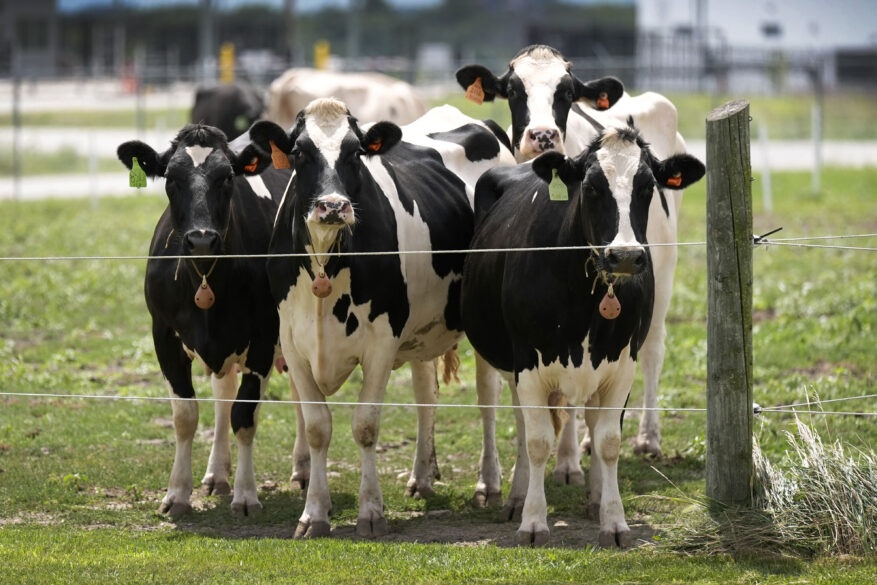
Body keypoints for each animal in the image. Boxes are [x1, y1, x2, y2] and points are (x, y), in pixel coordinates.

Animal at [116, 120, 306, 516]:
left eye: (227, 178)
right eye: (171, 178)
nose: (201, 239)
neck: (205, 278)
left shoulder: (263, 338)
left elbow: (245, 417)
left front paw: (246, 495)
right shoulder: (163, 336)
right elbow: (186, 416)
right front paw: (177, 493)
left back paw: (303, 468)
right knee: (224, 396)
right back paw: (217, 474)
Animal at [264, 97, 516, 540]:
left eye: (355, 153)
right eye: (298, 153)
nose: (333, 206)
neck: (326, 261)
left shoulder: (381, 341)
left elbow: (365, 425)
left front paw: (370, 512)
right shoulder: (293, 344)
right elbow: (317, 428)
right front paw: (314, 514)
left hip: (480, 320)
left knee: (487, 398)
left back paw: (488, 484)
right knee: (425, 395)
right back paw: (422, 477)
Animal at [456, 43, 688, 464]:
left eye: (565, 92)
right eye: (513, 90)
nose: (543, 135)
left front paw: (568, 463)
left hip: (664, 271)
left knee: (653, 349)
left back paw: (647, 436)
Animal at [458, 124, 704, 548]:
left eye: (647, 187)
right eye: (590, 187)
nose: (625, 256)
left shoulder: (622, 364)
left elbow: (608, 441)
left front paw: (614, 520)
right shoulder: (527, 362)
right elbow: (537, 441)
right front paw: (533, 521)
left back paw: (593, 496)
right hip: (503, 360)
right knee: (520, 423)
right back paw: (516, 497)